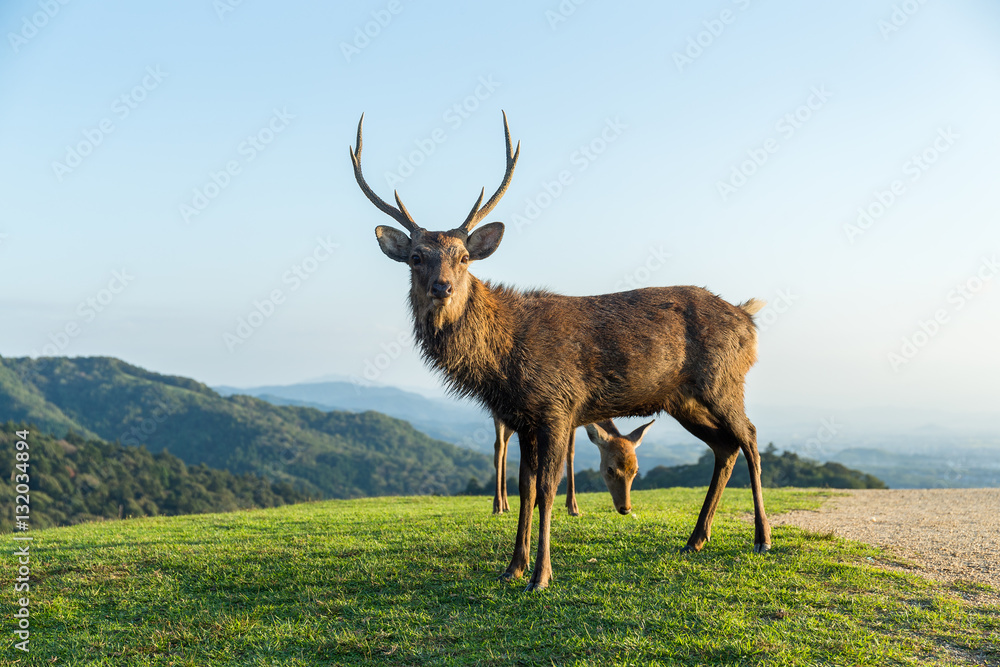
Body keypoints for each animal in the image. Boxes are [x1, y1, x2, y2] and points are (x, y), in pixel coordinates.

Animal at [350, 111, 771, 591]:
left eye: (463, 258)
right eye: (417, 257)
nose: (443, 287)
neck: (502, 361)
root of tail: (748, 318)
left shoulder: (556, 405)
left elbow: (547, 490)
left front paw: (541, 575)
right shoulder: (521, 417)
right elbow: (525, 489)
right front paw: (512, 567)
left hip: (724, 380)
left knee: (750, 437)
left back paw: (761, 538)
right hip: (681, 399)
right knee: (725, 447)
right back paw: (695, 539)